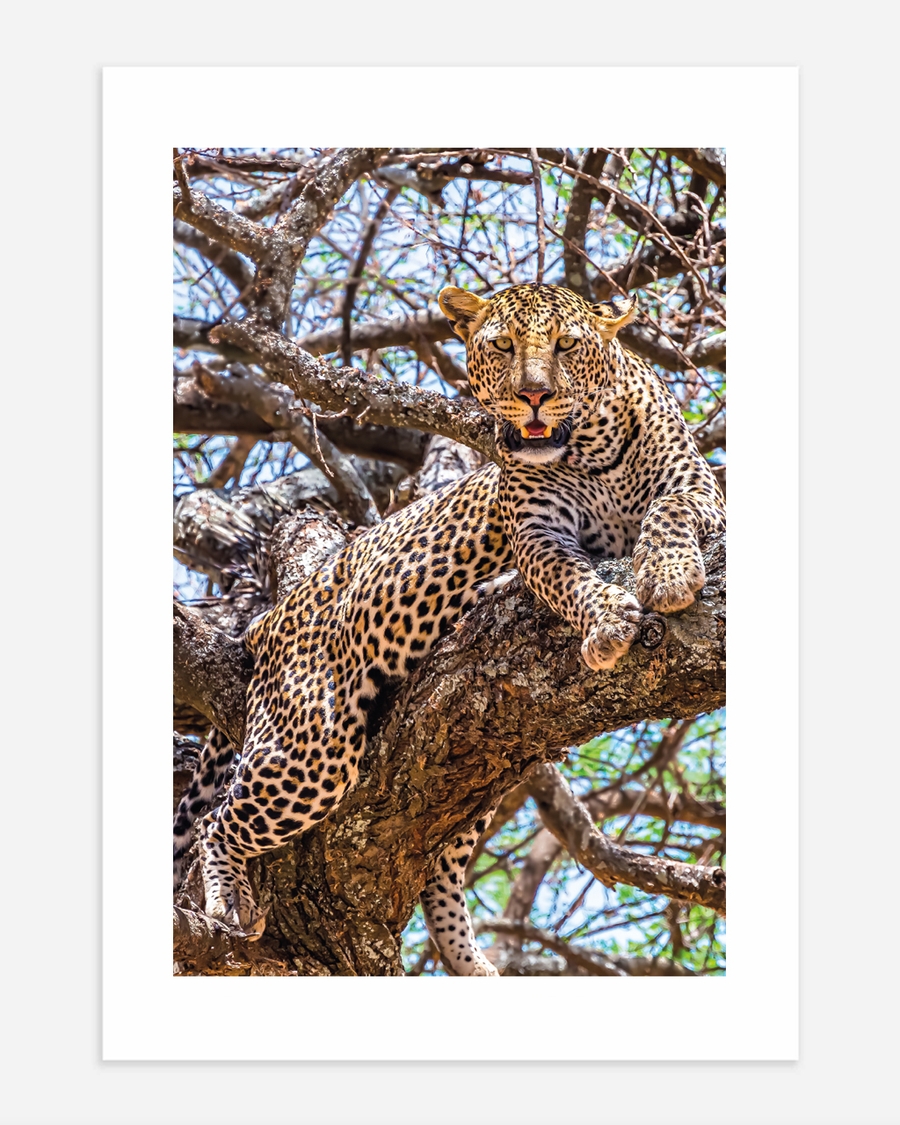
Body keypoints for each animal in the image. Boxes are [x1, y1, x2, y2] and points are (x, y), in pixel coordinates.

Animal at [173, 283, 725, 976]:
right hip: (312, 743)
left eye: (567, 345)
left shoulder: (701, 492)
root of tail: (272, 615)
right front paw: (607, 619)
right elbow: (566, 579)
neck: (594, 449)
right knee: (217, 821)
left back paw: (470, 962)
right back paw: (229, 901)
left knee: (442, 860)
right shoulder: (536, 534)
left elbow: (670, 509)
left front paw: (671, 573)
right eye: (503, 347)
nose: (535, 395)